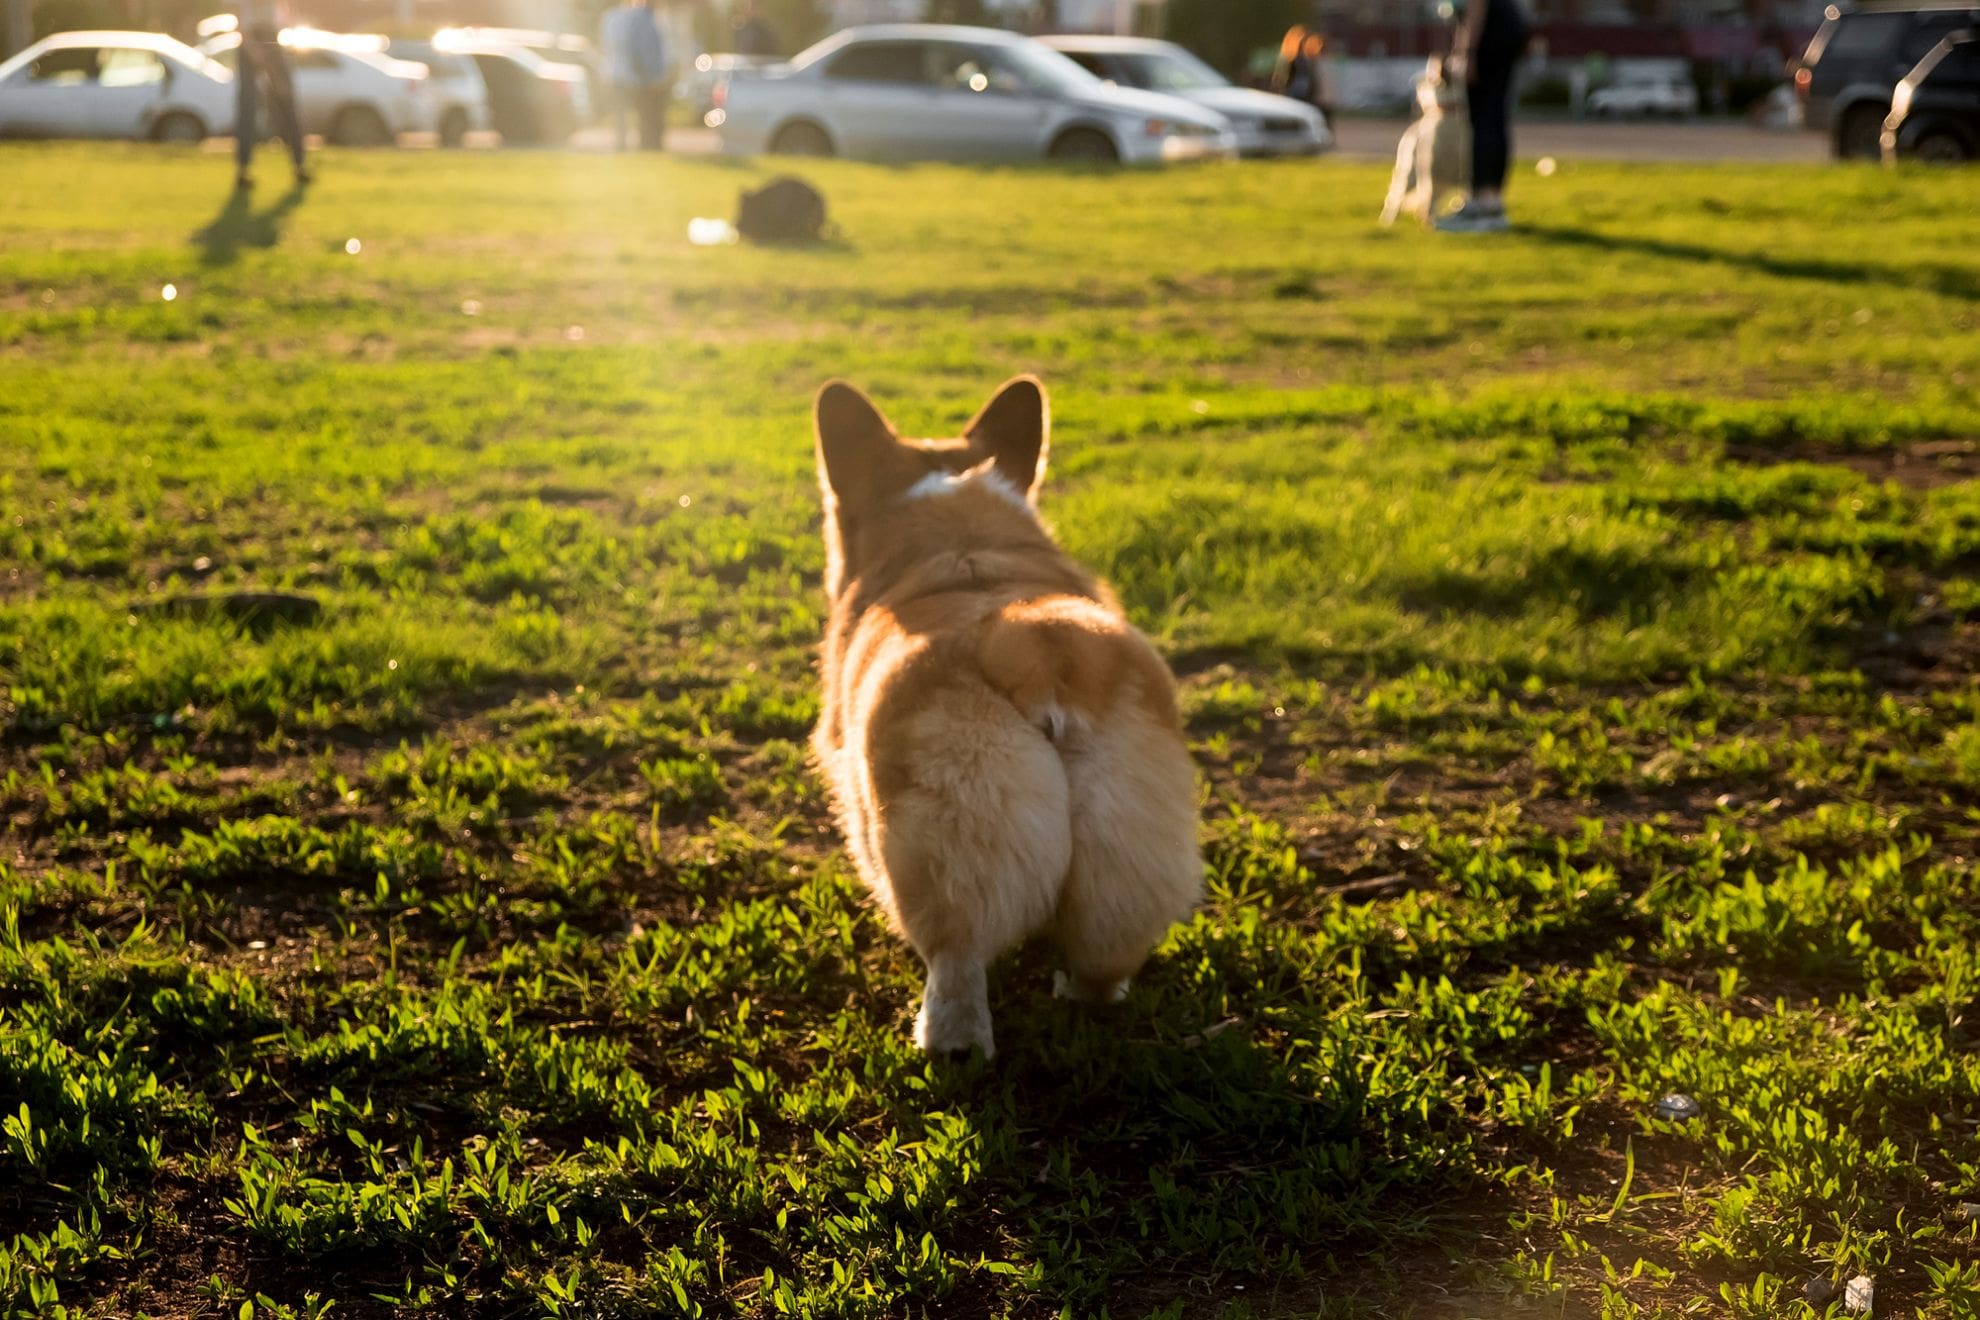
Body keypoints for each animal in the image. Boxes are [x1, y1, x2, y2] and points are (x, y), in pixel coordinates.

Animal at [811, 376, 1195, 1060]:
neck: (964, 543)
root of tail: (1033, 646)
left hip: (944, 867)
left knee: (957, 978)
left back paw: (944, 1054)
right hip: (1126, 853)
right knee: (1102, 964)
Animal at [1386, 55, 1465, 227]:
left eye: (1424, 80)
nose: (1415, 83)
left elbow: (1463, 196)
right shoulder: (1430, 172)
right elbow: (1428, 199)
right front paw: (1428, 222)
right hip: (1409, 174)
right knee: (1395, 197)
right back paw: (1388, 223)